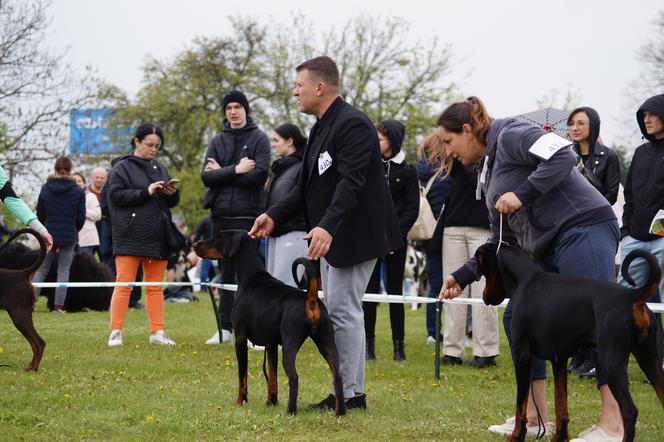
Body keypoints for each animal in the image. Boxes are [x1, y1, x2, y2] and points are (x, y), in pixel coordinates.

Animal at [195, 231, 344, 418]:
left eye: (217, 237)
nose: (194, 244)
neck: (250, 277)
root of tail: (310, 299)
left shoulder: (240, 338)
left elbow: (242, 377)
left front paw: (239, 402)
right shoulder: (271, 344)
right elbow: (272, 377)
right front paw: (271, 402)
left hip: (290, 343)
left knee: (294, 377)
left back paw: (290, 411)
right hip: (327, 341)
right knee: (337, 375)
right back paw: (340, 412)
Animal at [474, 243, 660, 440]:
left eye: (483, 271)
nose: (485, 297)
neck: (524, 280)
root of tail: (633, 296)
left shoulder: (522, 356)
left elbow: (520, 407)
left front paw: (516, 436)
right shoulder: (559, 360)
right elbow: (561, 405)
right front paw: (560, 437)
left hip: (611, 363)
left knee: (630, 411)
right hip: (649, 359)